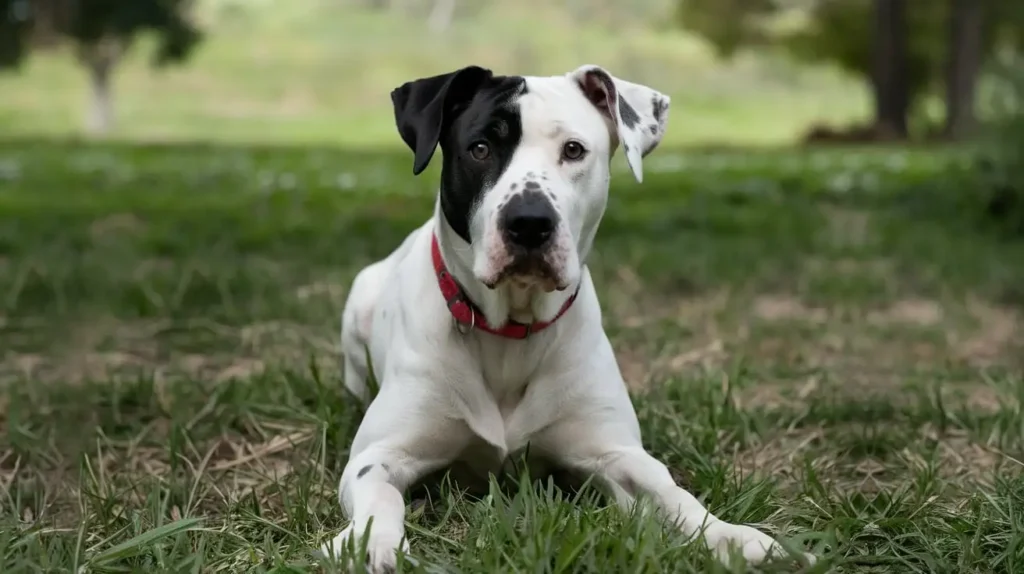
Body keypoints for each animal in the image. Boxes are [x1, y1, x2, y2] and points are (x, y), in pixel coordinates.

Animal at [323, 61, 811, 568]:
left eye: (573, 150)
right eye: (480, 148)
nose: (529, 222)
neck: (512, 327)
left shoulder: (614, 452)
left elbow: (672, 492)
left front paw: (732, 536)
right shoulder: (381, 453)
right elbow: (380, 493)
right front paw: (371, 543)